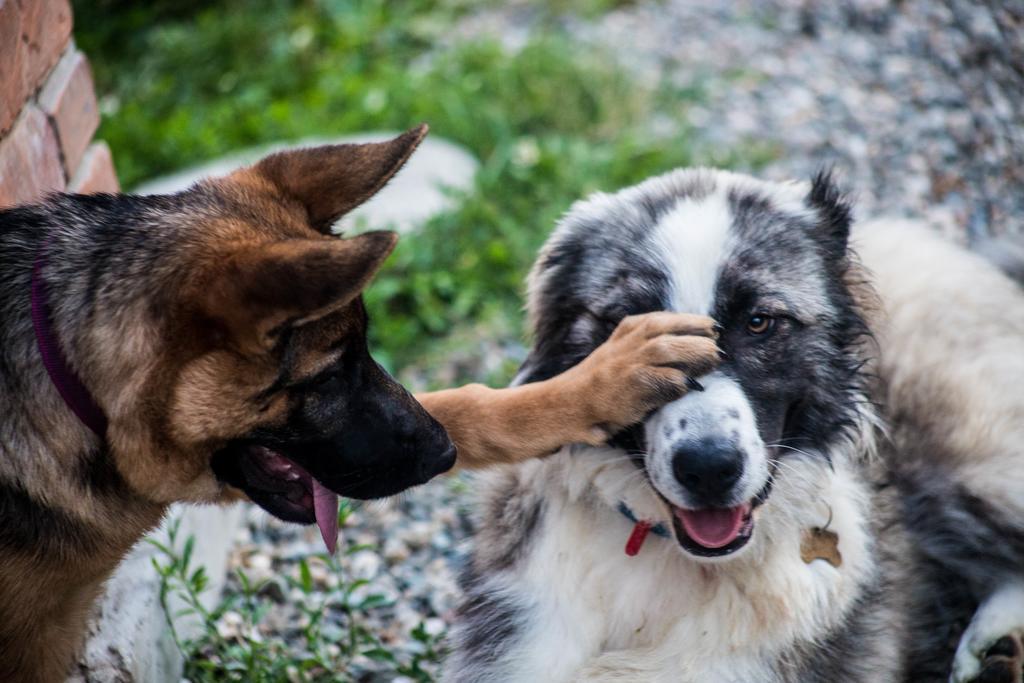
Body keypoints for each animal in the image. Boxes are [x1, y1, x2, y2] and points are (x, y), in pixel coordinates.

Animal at [0, 126, 720, 679]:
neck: (73, 386)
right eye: (327, 377)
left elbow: (472, 403)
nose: (442, 456)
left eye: (365, 349)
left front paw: (607, 376)